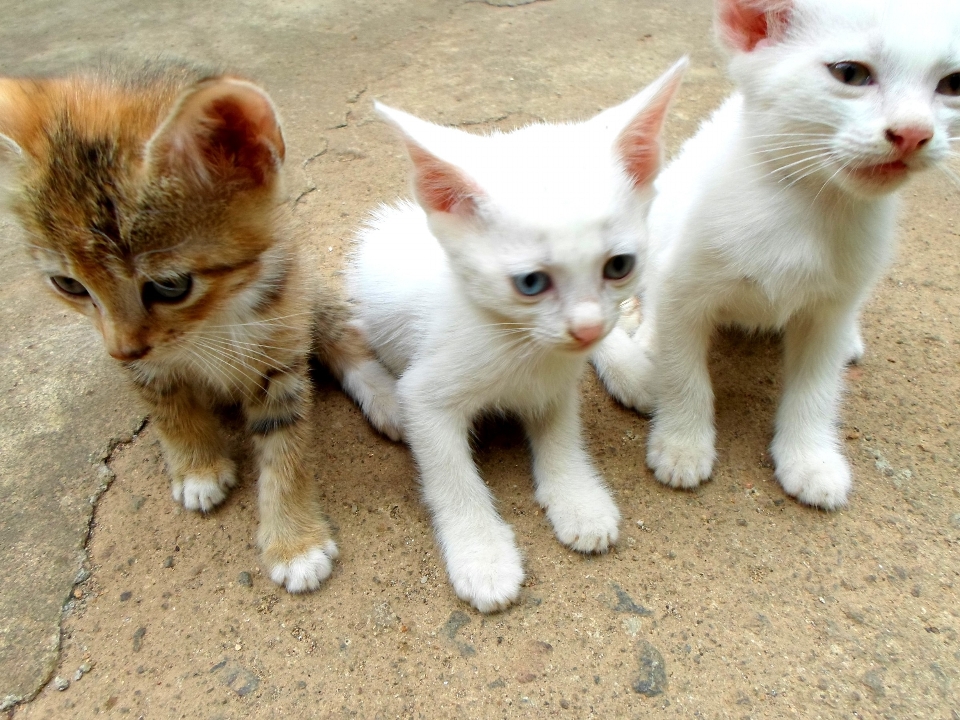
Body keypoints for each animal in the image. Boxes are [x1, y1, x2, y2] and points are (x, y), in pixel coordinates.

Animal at [0, 62, 402, 592]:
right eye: (68, 284)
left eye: (170, 286)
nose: (121, 350)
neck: (212, 320)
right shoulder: (144, 364)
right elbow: (168, 406)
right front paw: (198, 467)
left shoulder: (279, 351)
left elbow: (285, 450)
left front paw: (294, 543)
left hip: (303, 289)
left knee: (342, 330)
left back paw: (388, 398)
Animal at [348, 60, 688, 612]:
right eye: (530, 282)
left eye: (619, 265)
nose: (586, 327)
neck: (521, 345)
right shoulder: (424, 396)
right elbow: (450, 475)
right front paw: (481, 554)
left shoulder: (558, 379)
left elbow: (562, 431)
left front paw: (577, 498)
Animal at [592, 0, 960, 510]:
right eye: (850, 73)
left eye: (953, 84)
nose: (914, 133)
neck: (804, 207)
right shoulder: (684, 288)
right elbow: (684, 369)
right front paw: (682, 444)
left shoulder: (830, 308)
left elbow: (816, 387)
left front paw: (809, 457)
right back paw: (647, 335)